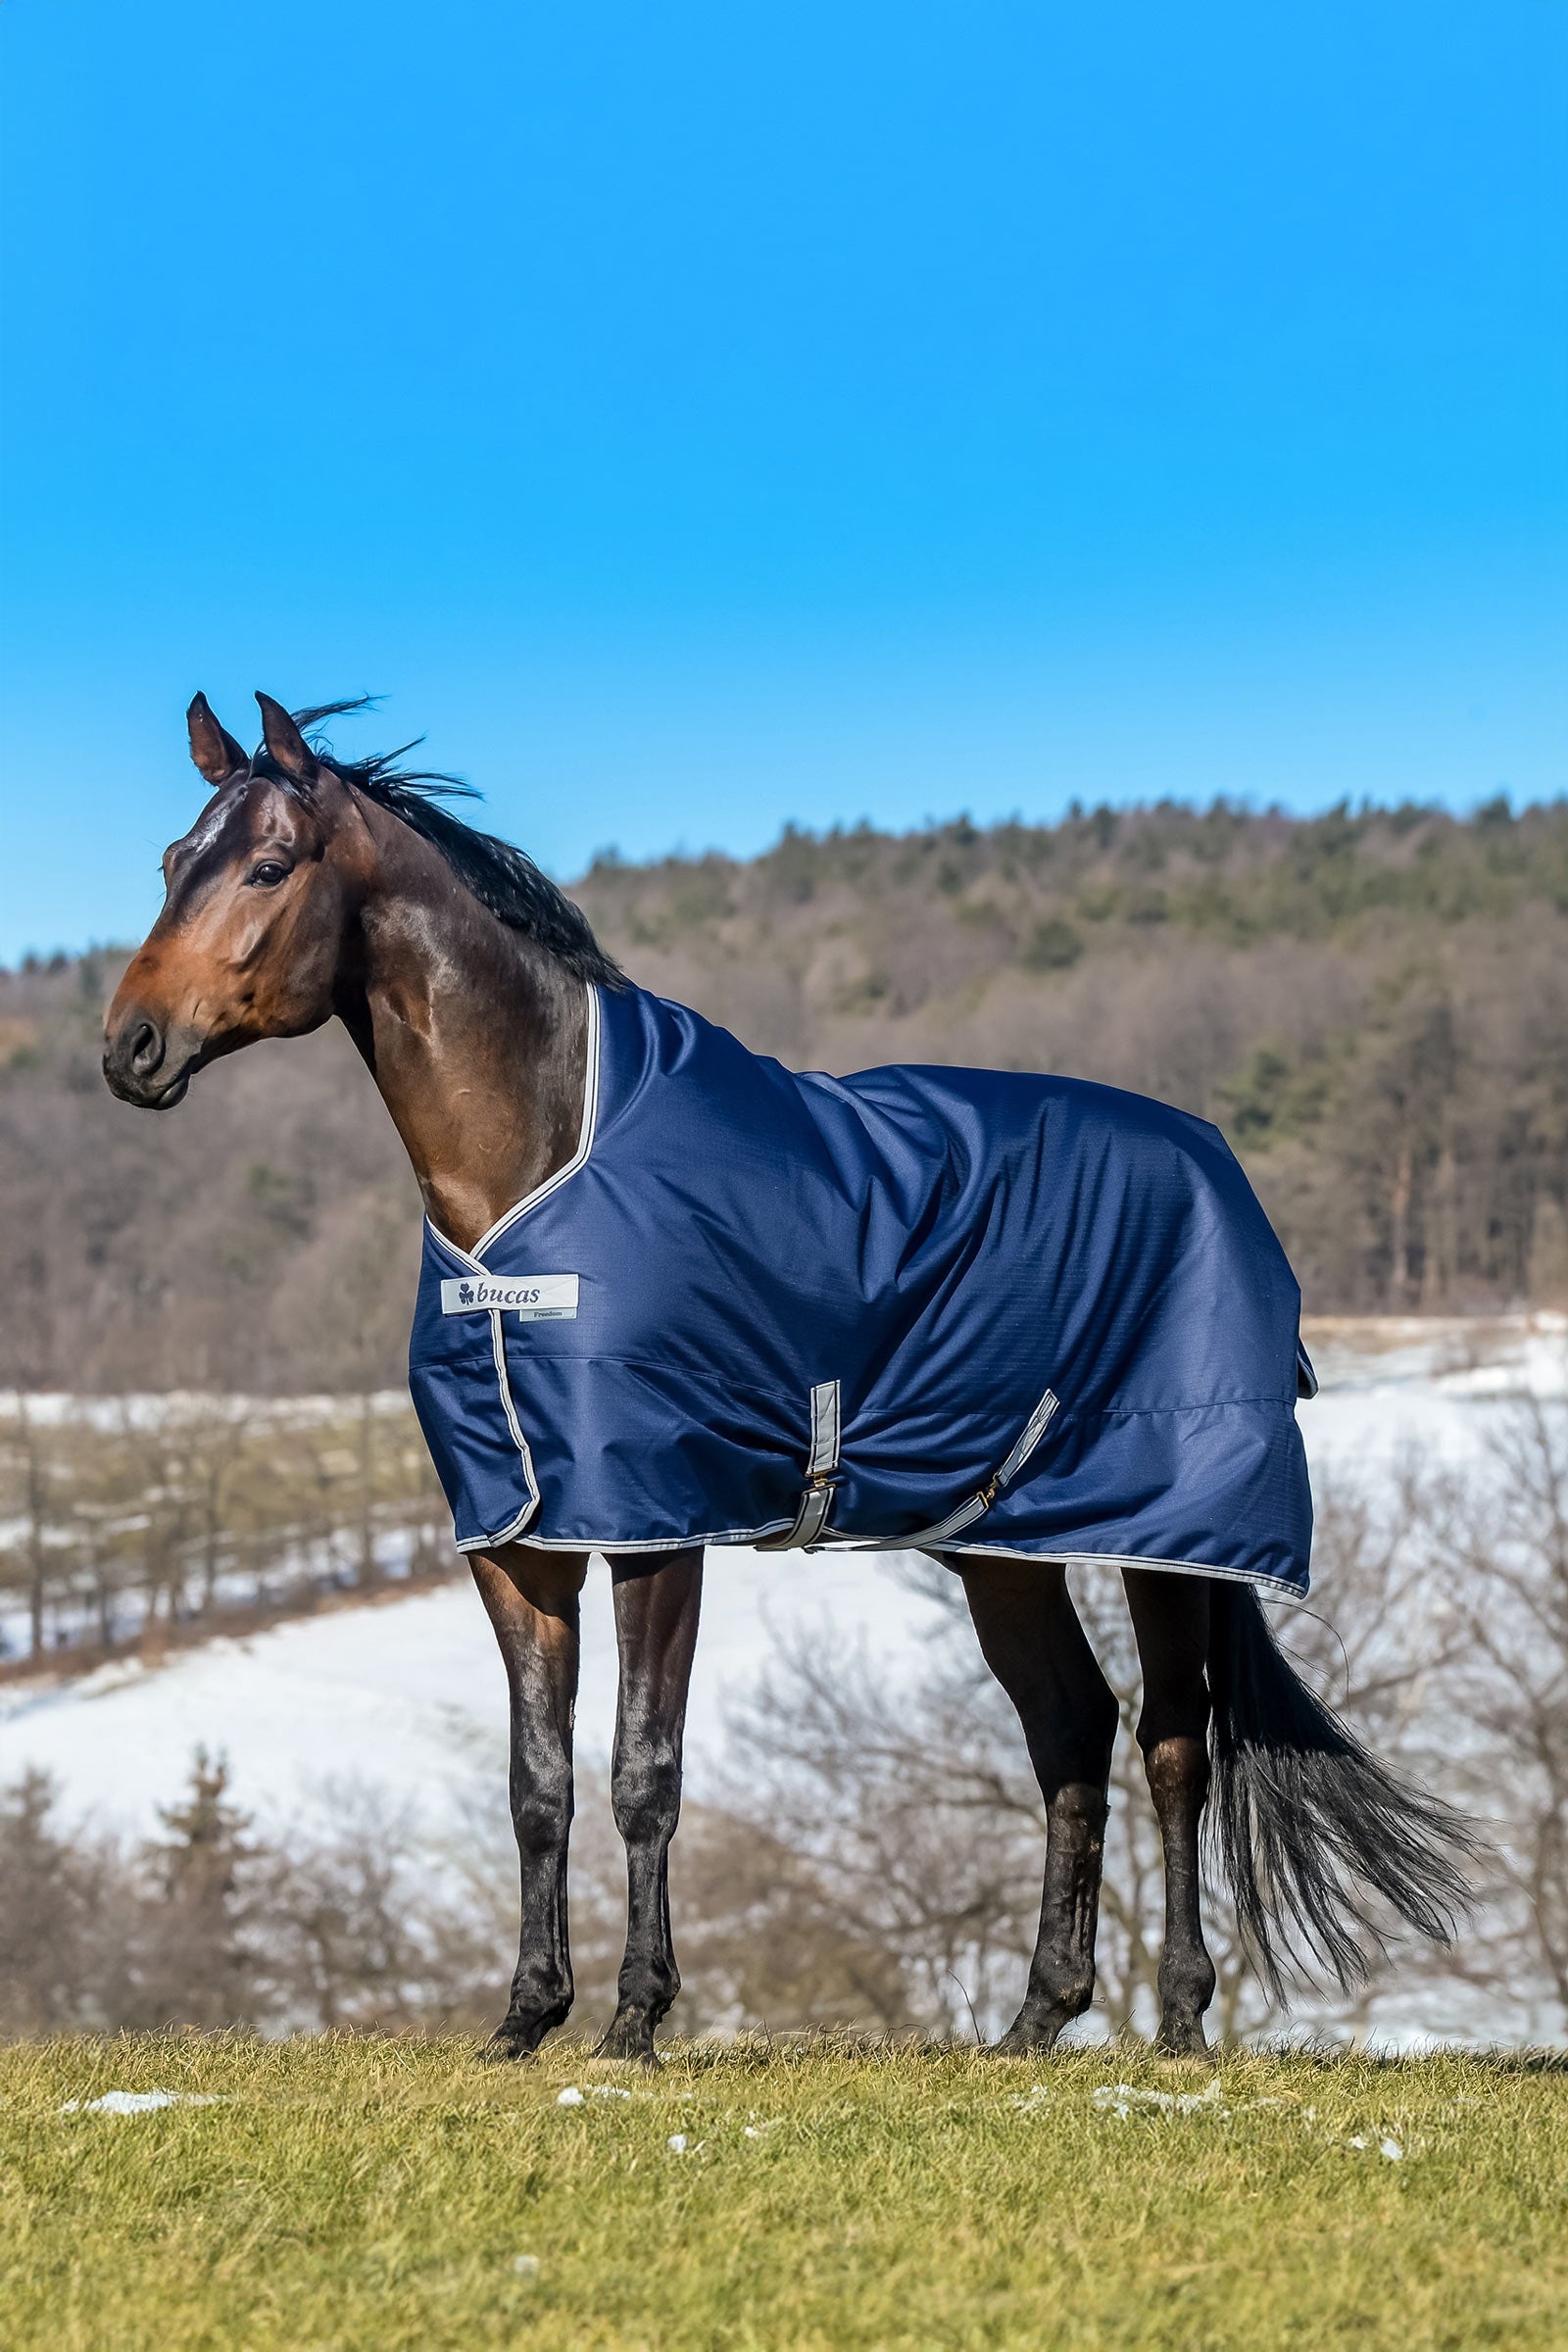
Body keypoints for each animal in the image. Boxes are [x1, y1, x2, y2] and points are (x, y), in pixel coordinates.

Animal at [102, 691, 1473, 2062]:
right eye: (170, 864)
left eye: (269, 867)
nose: (130, 1048)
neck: (540, 1173)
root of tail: (1214, 1165)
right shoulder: (516, 1539)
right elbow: (536, 1783)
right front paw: (522, 2022)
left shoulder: (657, 1526)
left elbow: (641, 1773)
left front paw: (634, 2020)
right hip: (1000, 1545)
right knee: (1070, 1731)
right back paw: (1035, 2019)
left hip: (1170, 1536)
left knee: (1172, 1745)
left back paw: (1180, 2021)